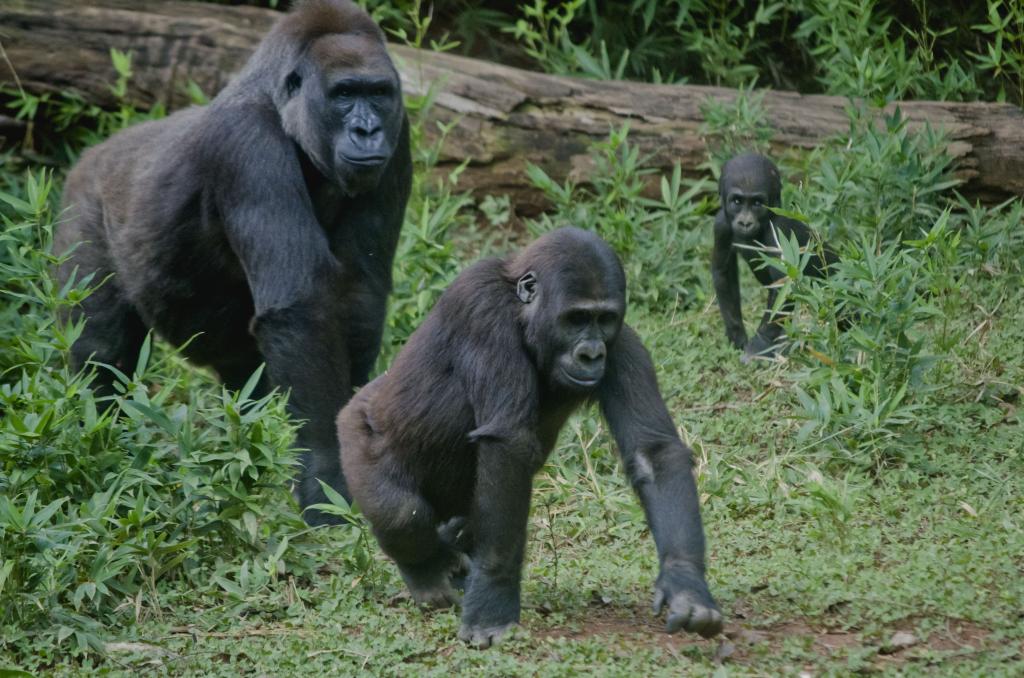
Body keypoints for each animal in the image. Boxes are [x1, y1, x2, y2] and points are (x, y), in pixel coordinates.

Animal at [57, 0, 411, 524]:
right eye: (345, 94)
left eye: (379, 94)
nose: (367, 130)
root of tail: (92, 154)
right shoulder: (246, 144)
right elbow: (301, 310)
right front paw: (328, 474)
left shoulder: (399, 133)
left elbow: (359, 293)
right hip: (83, 203)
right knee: (99, 350)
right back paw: (95, 443)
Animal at [335, 227, 720, 647]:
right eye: (576, 318)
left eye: (604, 319)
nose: (591, 354)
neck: (523, 312)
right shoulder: (483, 308)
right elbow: (509, 444)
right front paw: (493, 599)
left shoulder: (622, 344)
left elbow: (654, 453)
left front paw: (685, 583)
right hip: (355, 433)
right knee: (402, 513)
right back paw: (427, 572)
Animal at [716, 151, 835, 364]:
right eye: (737, 202)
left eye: (757, 203)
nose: (745, 223)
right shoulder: (721, 224)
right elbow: (724, 275)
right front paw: (736, 335)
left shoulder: (779, 230)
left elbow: (784, 287)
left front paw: (758, 346)